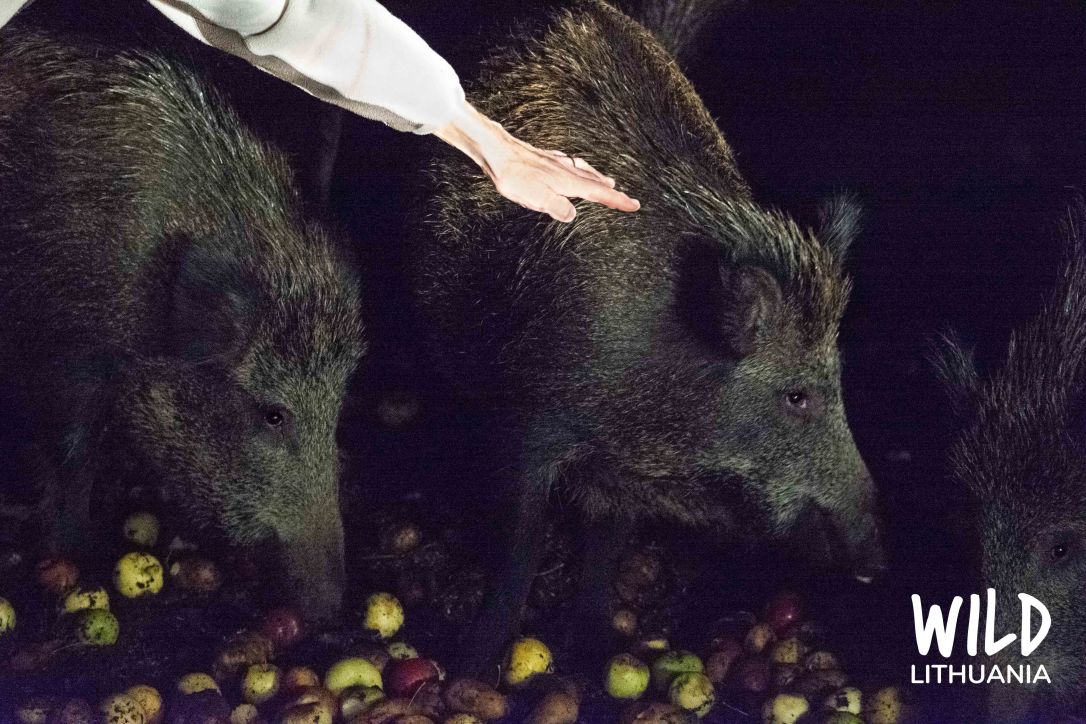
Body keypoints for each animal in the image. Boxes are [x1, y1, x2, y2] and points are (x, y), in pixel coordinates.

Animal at [0, 28, 365, 620]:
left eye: (338, 410)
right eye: (273, 414)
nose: (330, 606)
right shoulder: (67, 354)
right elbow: (73, 455)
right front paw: (79, 551)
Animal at [410, 0, 883, 671]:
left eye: (838, 385)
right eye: (797, 396)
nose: (880, 561)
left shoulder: (623, 469)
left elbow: (607, 545)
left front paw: (592, 650)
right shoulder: (528, 424)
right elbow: (519, 551)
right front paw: (471, 667)